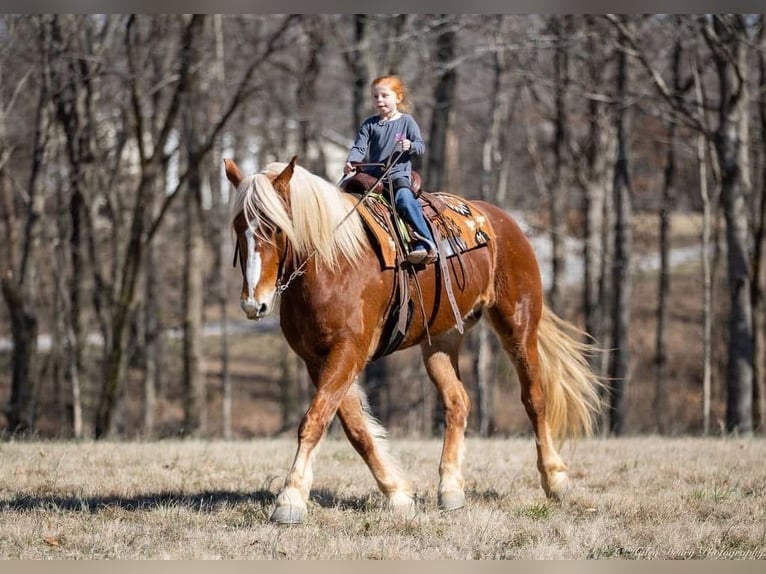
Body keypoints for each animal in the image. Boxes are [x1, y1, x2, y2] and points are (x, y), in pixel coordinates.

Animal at [225, 156, 604, 528]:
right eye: (238, 226)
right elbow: (355, 428)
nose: (253, 304)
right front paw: (397, 493)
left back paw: (555, 479)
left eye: (275, 227)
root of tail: (501, 222)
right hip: (441, 342)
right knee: (457, 402)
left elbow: (315, 420)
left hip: (518, 326)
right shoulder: (316, 359)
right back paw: (450, 489)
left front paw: (290, 499)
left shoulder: (347, 352)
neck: (333, 264)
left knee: (534, 398)